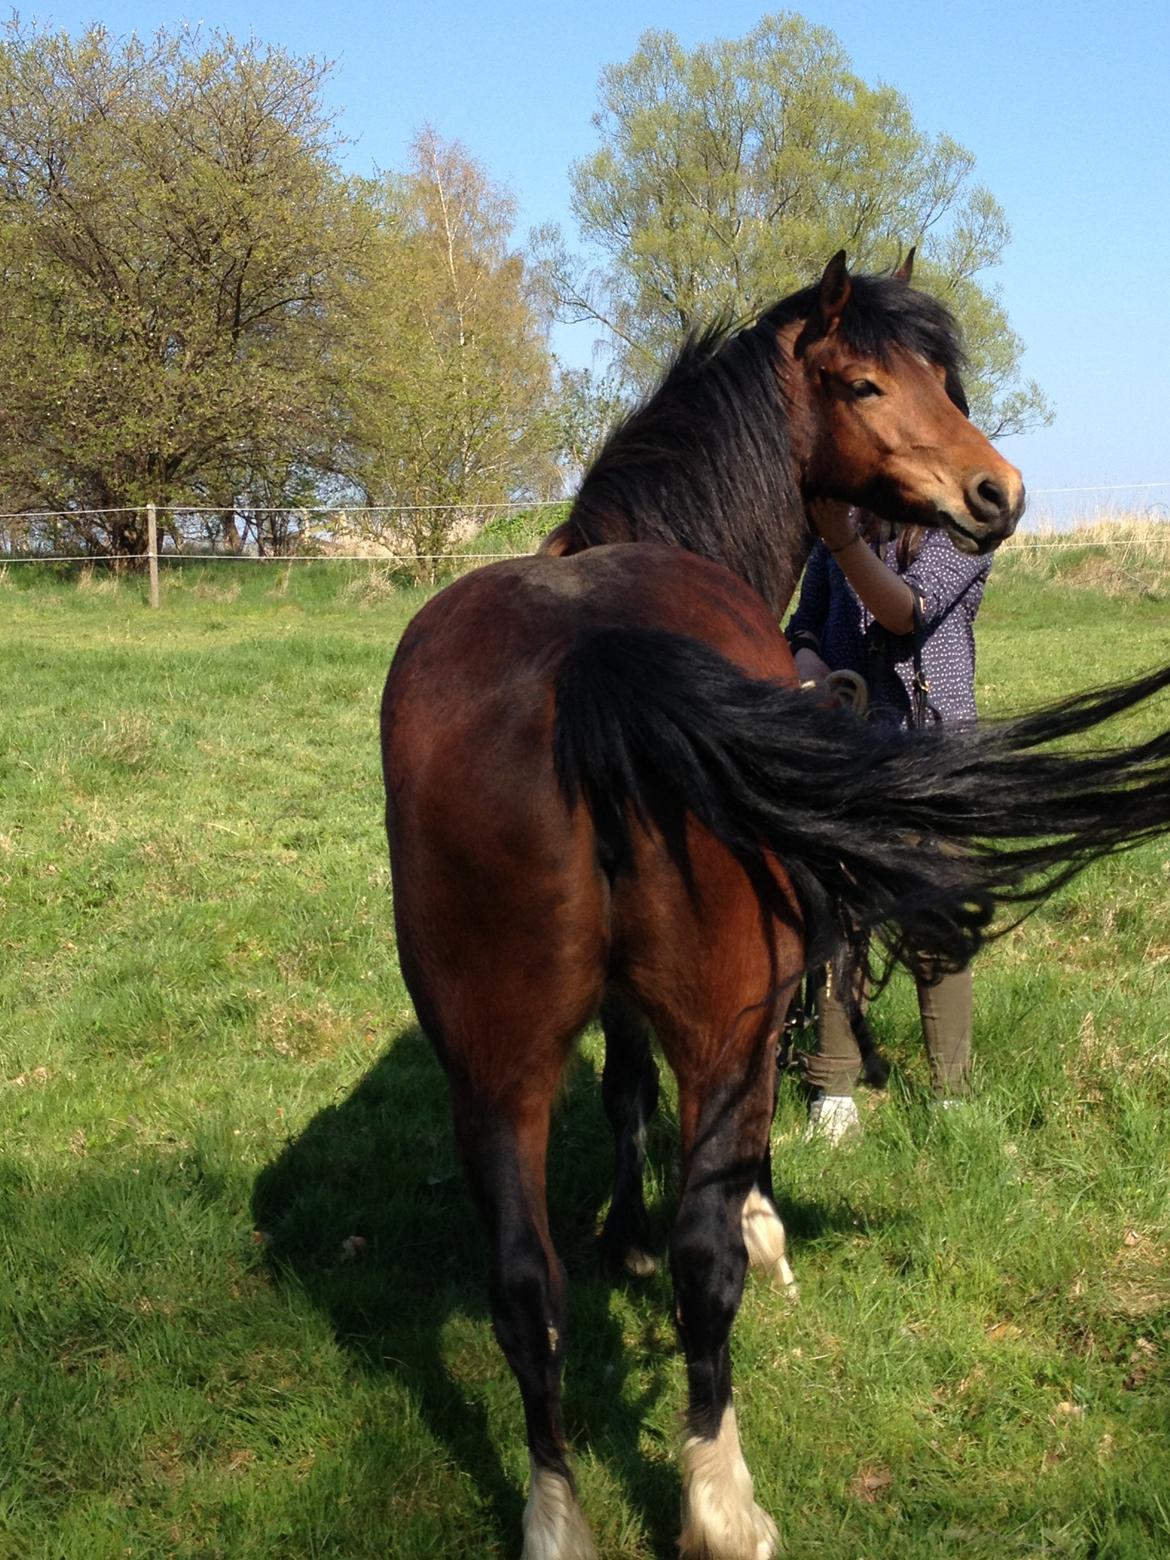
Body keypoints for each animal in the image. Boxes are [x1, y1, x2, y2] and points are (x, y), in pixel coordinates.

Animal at [382, 258, 1170, 1560]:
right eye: (866, 383)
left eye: (939, 377)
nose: (996, 493)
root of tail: (587, 660)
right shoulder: (750, 1008)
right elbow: (722, 1175)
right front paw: (754, 1223)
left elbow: (623, 1095)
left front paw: (623, 1237)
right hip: (716, 1020)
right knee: (703, 1273)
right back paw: (722, 1498)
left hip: (492, 1067)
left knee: (524, 1290)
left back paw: (556, 1515)